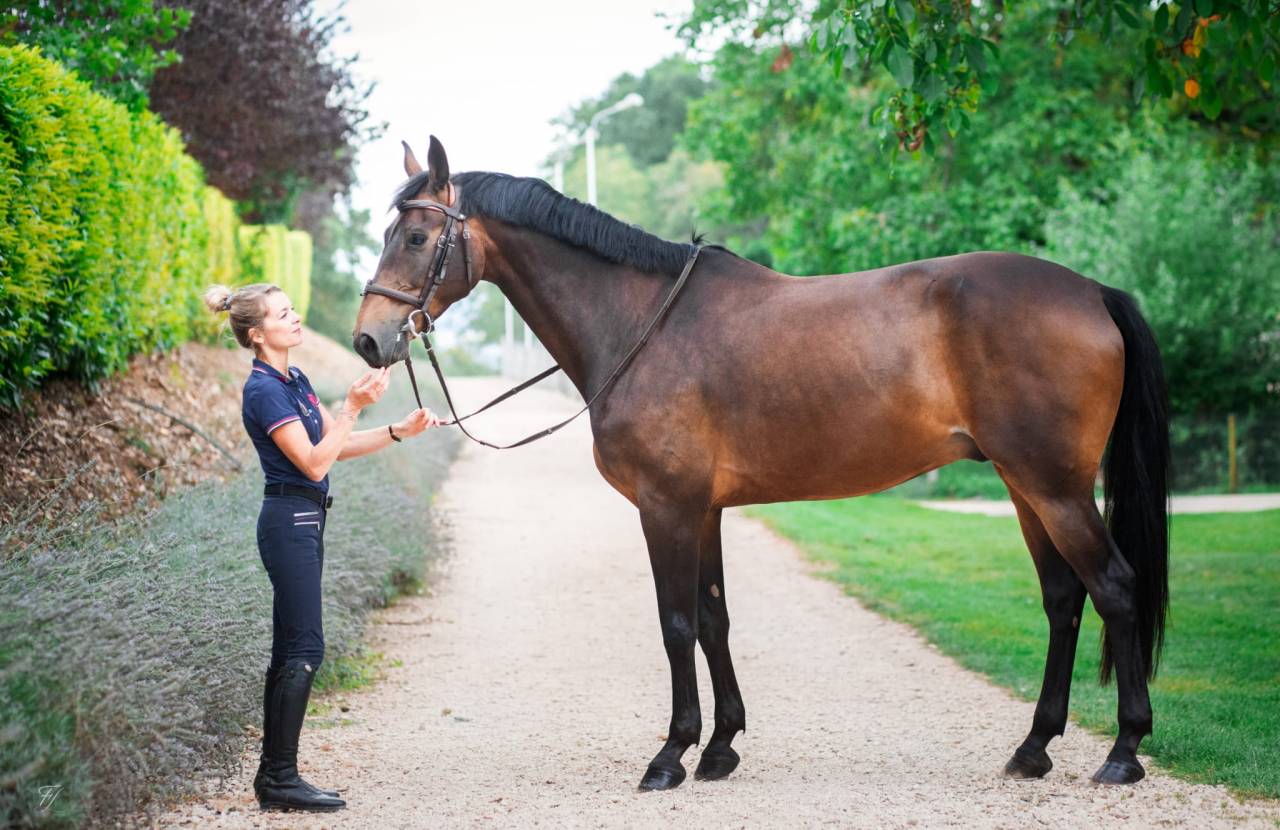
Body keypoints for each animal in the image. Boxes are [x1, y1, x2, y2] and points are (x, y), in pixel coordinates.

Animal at [353, 136, 1170, 790]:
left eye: (418, 235)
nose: (368, 341)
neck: (642, 323)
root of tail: (1091, 292)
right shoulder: (705, 509)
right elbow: (715, 619)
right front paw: (720, 749)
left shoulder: (667, 507)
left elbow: (676, 622)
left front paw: (671, 756)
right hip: (1025, 487)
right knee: (1064, 599)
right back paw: (1033, 748)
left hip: (1054, 488)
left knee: (1115, 588)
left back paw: (1123, 751)